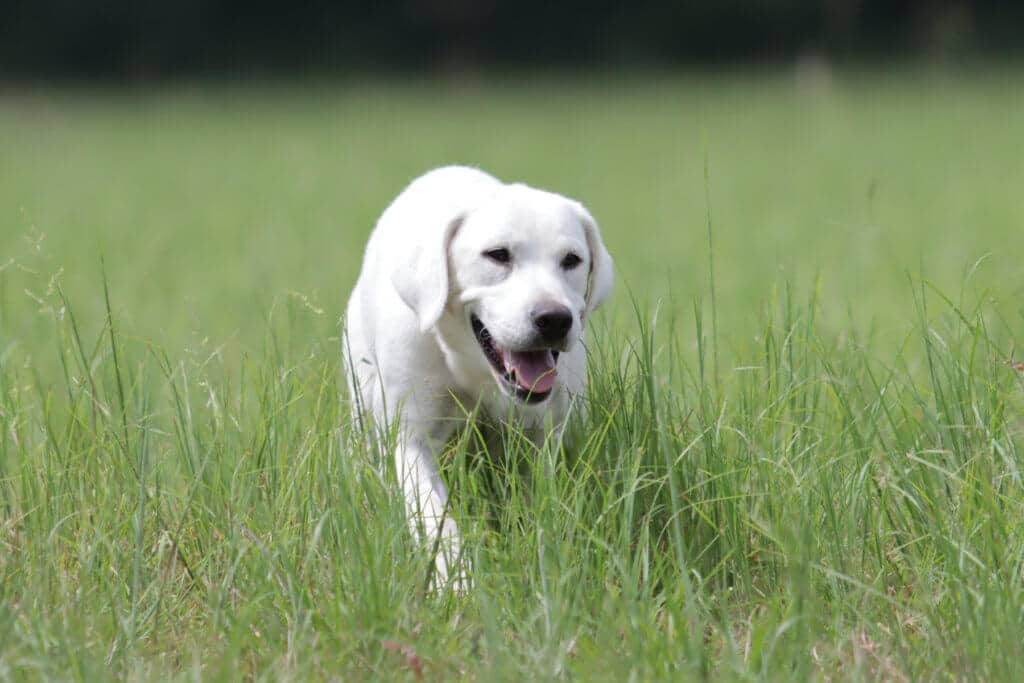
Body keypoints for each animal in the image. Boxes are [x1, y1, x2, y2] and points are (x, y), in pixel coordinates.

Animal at [344, 166, 614, 589]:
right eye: (498, 255)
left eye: (572, 260)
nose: (555, 318)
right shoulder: (411, 439)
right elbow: (435, 518)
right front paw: (457, 583)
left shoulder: (549, 435)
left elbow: (544, 503)